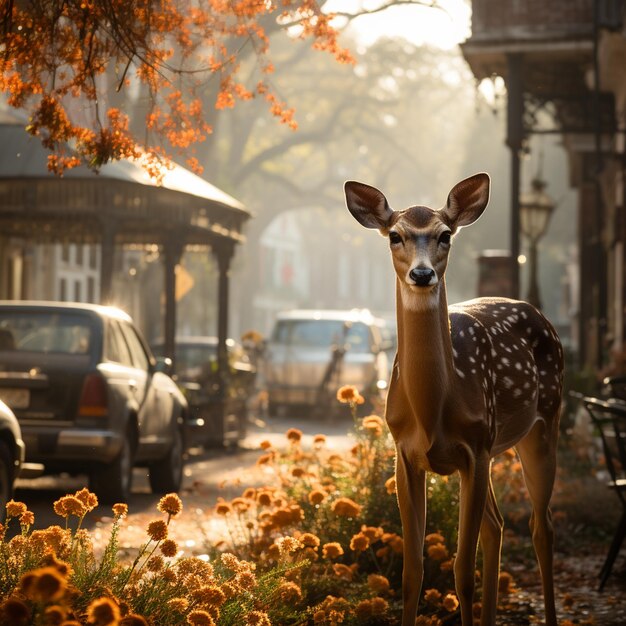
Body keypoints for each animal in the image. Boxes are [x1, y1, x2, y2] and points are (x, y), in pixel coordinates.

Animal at [344, 173, 564, 624]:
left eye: (445, 234)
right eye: (395, 235)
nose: (422, 273)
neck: (433, 413)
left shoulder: (474, 449)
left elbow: (463, 570)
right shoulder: (405, 454)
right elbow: (412, 571)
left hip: (543, 422)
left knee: (541, 526)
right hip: (496, 447)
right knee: (497, 525)